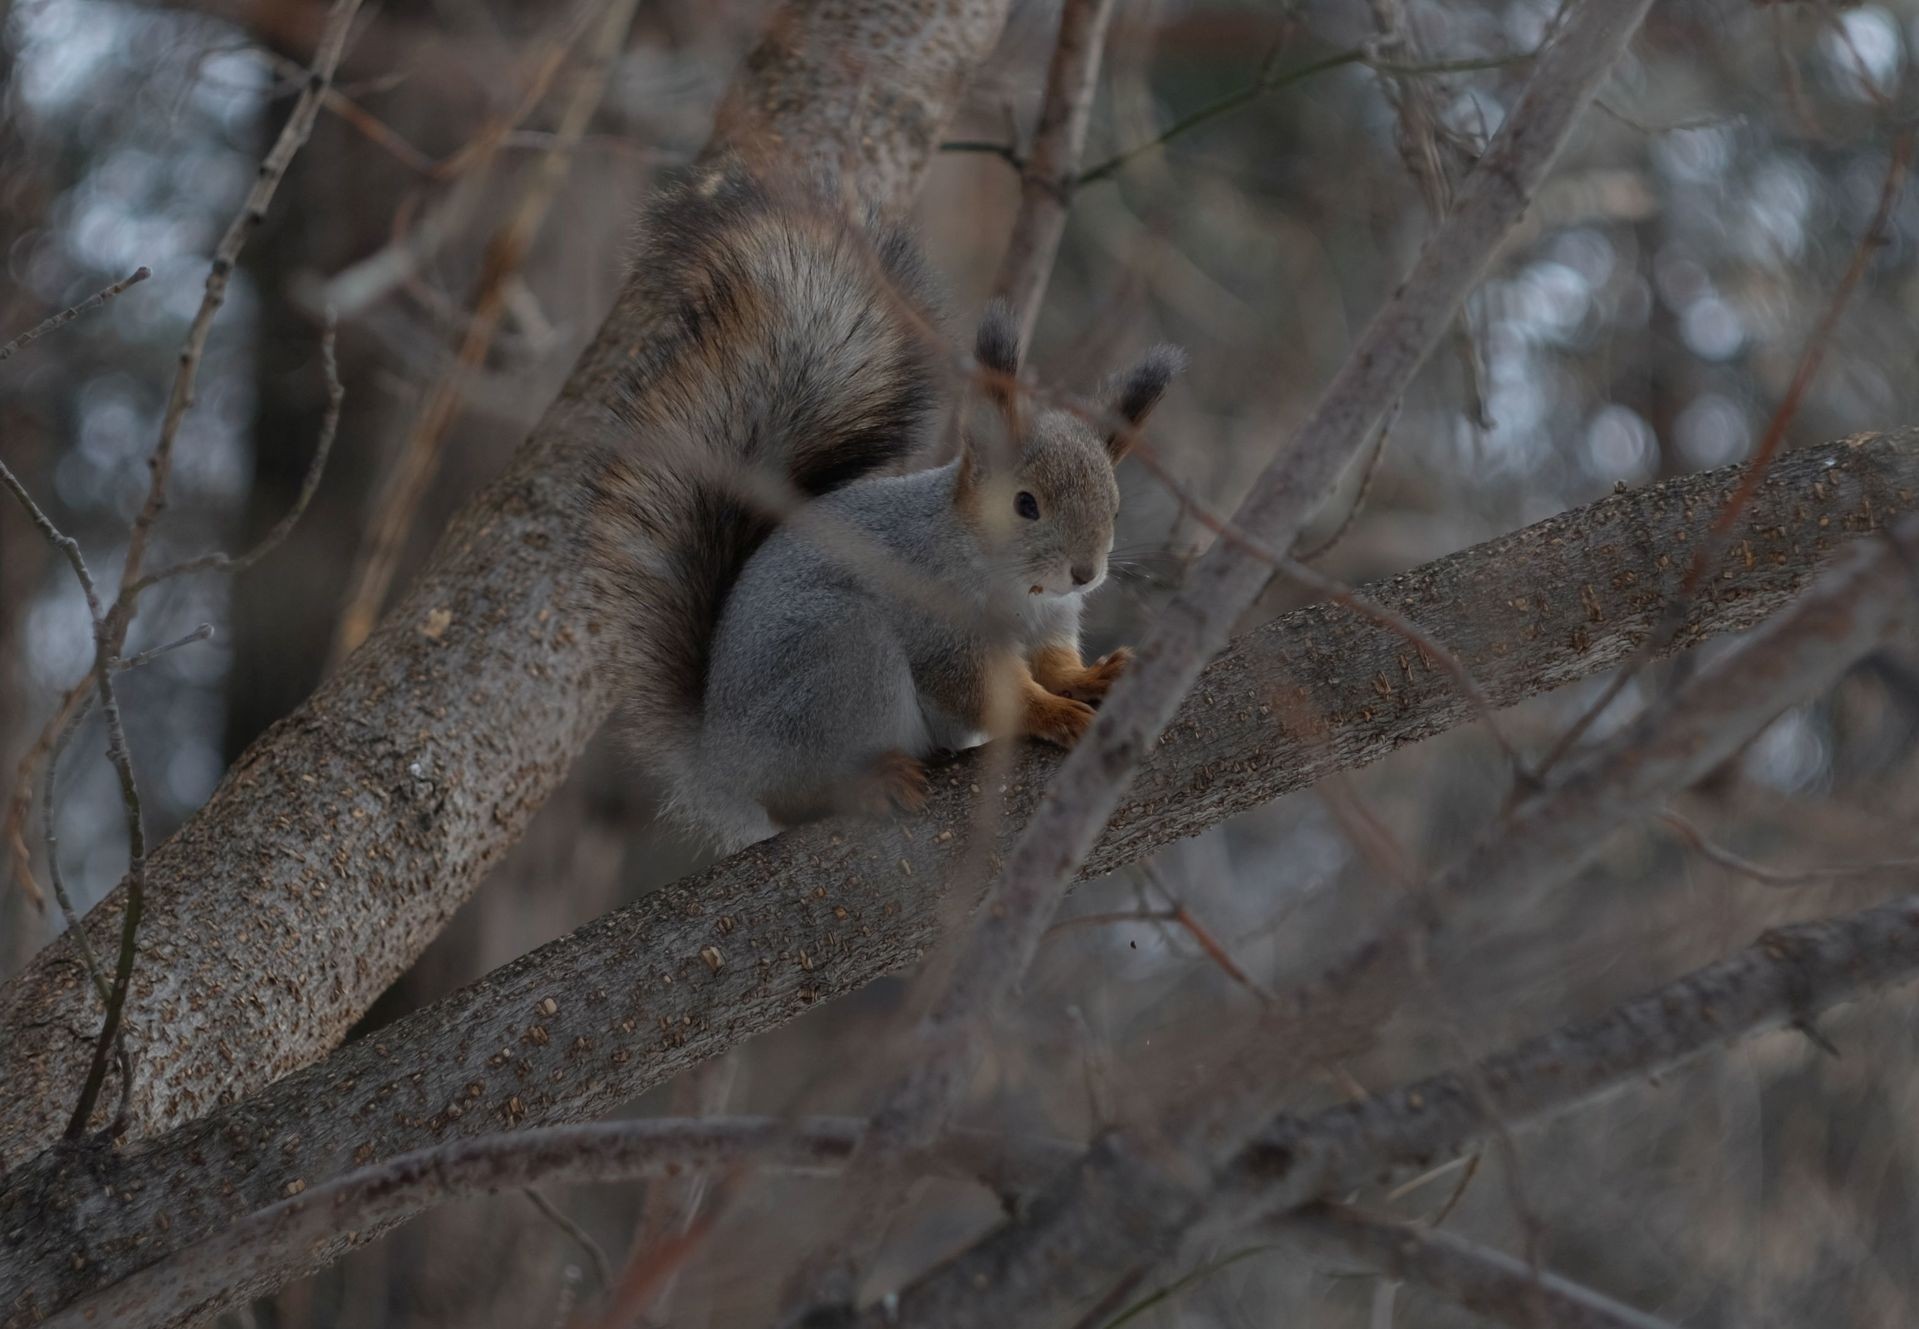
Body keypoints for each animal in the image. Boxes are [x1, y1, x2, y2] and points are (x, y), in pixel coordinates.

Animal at [579, 163, 1182, 851]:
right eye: (1025, 504)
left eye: (1115, 506)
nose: (1086, 573)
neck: (1008, 580)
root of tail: (718, 761)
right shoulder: (939, 628)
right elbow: (985, 691)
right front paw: (1054, 714)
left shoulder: (1051, 622)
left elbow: (1053, 663)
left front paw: (1090, 679)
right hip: (840, 656)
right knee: (790, 799)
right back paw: (869, 783)